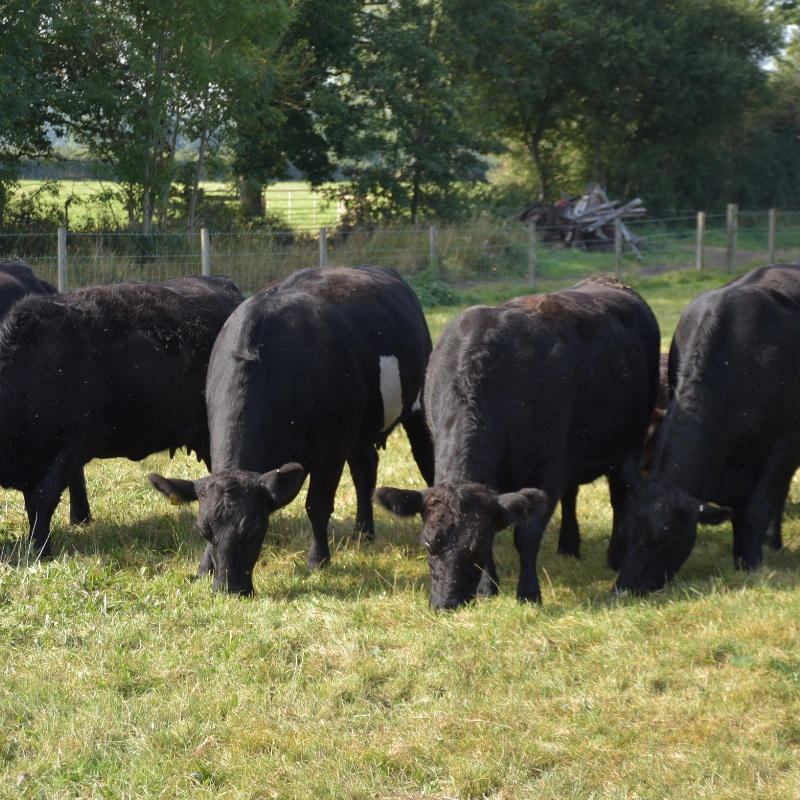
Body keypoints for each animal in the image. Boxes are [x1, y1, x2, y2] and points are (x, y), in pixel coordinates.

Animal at [148, 265, 435, 595]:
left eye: (252, 530)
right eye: (203, 531)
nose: (229, 588)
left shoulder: (332, 446)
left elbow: (317, 505)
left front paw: (317, 561)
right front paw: (203, 569)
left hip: (417, 410)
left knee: (427, 464)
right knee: (365, 470)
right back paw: (364, 532)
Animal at [375, 274, 661, 609]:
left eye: (476, 549)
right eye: (429, 544)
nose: (446, 602)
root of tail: (609, 281)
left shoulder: (548, 468)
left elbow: (526, 535)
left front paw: (528, 593)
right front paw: (488, 587)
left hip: (629, 444)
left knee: (620, 495)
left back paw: (615, 556)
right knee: (573, 494)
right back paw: (568, 545)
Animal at [613, 263, 800, 594]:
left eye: (663, 539)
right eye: (622, 531)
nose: (623, 589)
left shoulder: (786, 441)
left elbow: (759, 507)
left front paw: (750, 564)